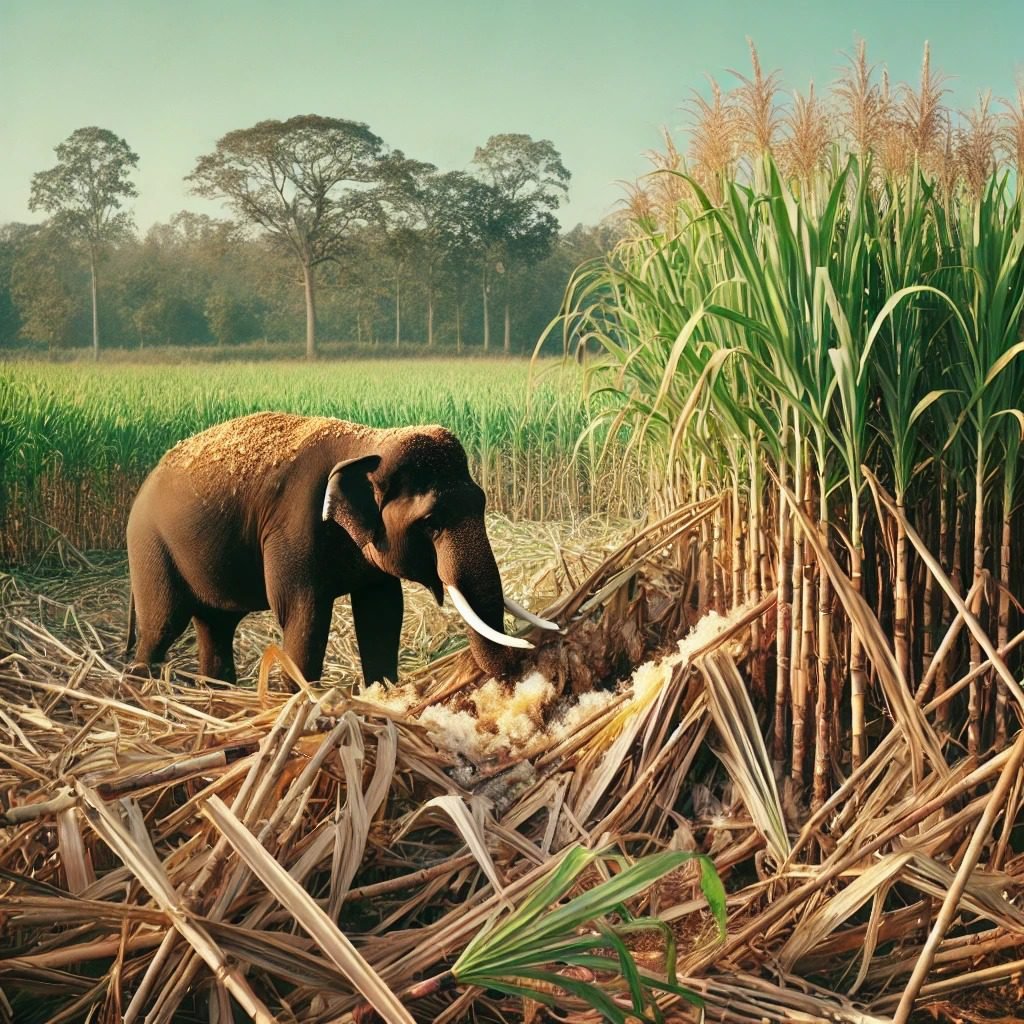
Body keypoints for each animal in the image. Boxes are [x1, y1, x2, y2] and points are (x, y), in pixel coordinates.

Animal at [128, 409, 561, 688]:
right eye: (430, 523)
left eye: (482, 503)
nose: (515, 671)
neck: (369, 442)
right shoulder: (294, 529)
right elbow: (301, 613)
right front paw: (298, 700)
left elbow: (382, 612)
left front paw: (382, 691)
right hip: (150, 550)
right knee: (161, 626)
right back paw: (142, 685)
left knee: (215, 626)